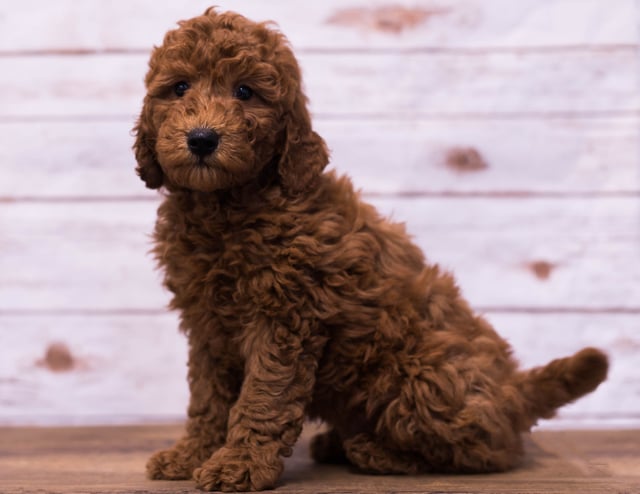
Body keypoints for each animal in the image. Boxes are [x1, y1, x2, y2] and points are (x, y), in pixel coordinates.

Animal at [132, 6, 608, 490]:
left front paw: (239, 465)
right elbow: (208, 395)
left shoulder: (284, 317)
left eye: (245, 92)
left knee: (489, 449)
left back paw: (373, 451)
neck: (225, 208)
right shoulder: (207, 323)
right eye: (180, 87)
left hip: (420, 374)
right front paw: (192, 454)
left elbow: (263, 397)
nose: (202, 138)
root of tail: (513, 391)